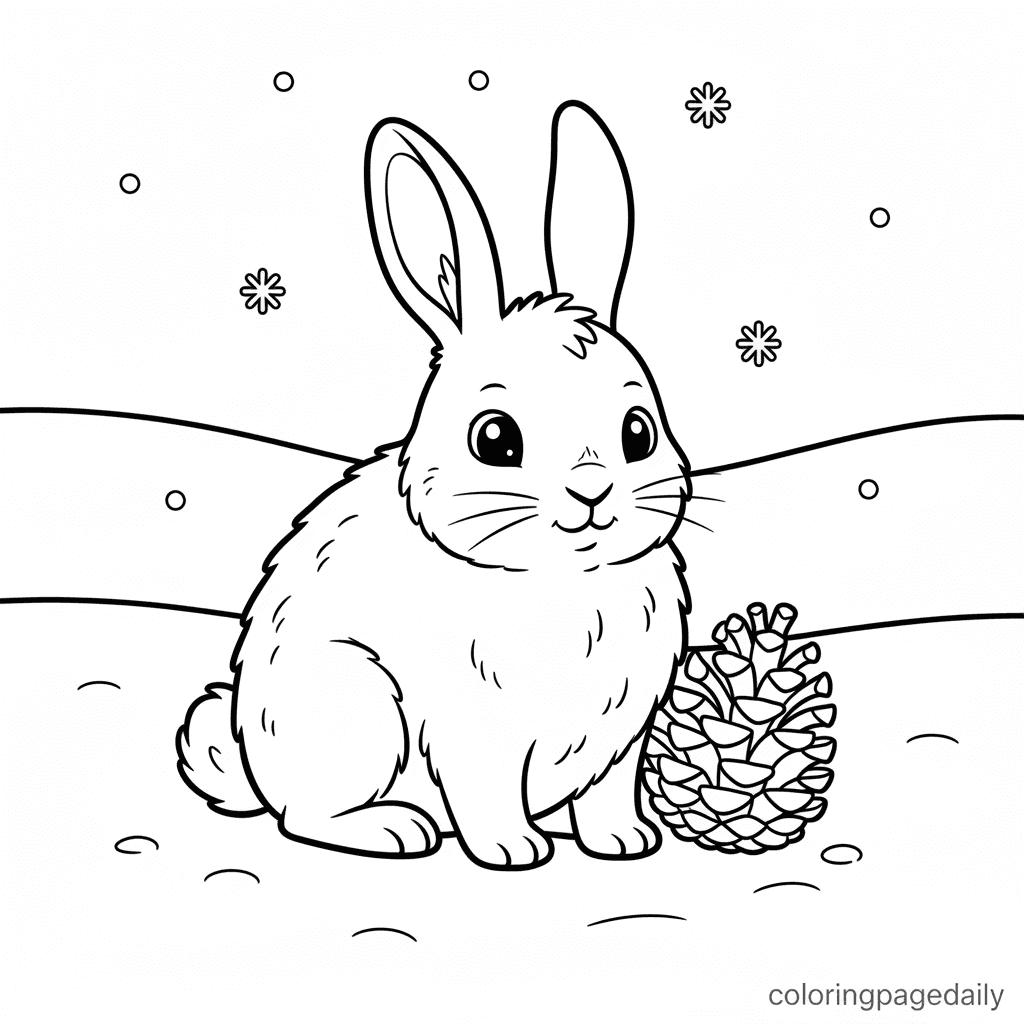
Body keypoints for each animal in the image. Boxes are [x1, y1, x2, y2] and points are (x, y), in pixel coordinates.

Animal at [177, 100, 692, 870]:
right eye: (495, 440)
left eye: (638, 433)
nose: (593, 491)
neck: (556, 580)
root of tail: (252, 765)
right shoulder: (474, 738)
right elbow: (487, 797)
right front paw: (513, 850)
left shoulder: (620, 736)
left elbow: (606, 796)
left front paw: (627, 841)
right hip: (355, 708)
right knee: (304, 816)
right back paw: (395, 829)